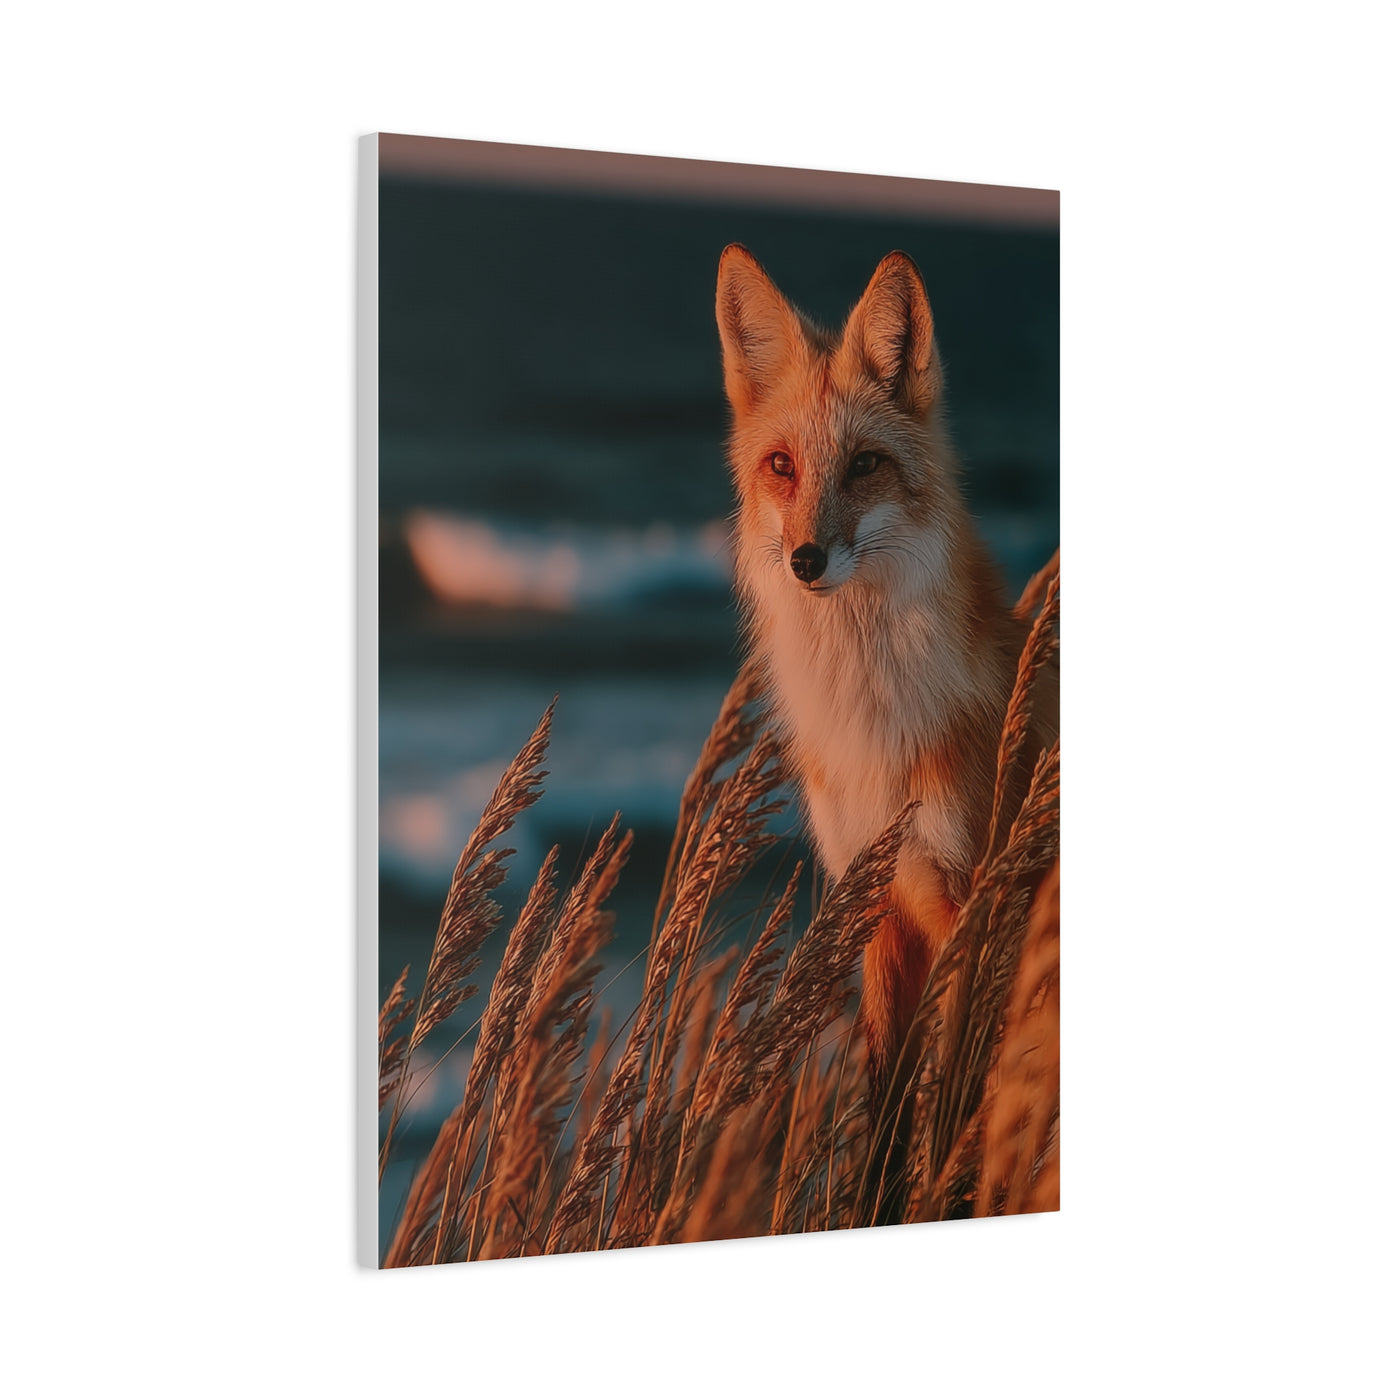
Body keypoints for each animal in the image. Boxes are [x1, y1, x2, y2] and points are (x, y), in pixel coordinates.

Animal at [714, 244, 1057, 1221]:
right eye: (782, 465)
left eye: (864, 464)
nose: (806, 559)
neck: (877, 731)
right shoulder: (878, 908)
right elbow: (888, 1121)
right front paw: (875, 1209)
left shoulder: (979, 909)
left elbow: (959, 1111)